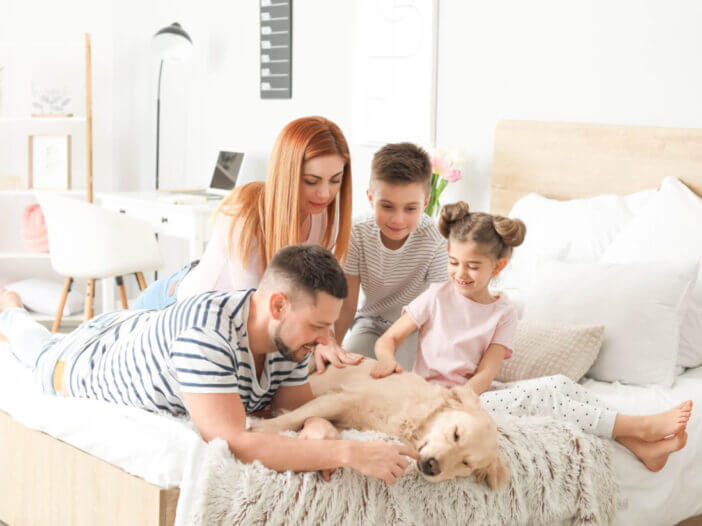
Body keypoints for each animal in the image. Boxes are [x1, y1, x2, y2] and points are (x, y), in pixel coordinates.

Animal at [253, 360, 512, 488]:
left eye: (466, 464)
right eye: (456, 434)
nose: (432, 466)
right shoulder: (342, 398)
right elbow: (294, 416)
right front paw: (261, 428)